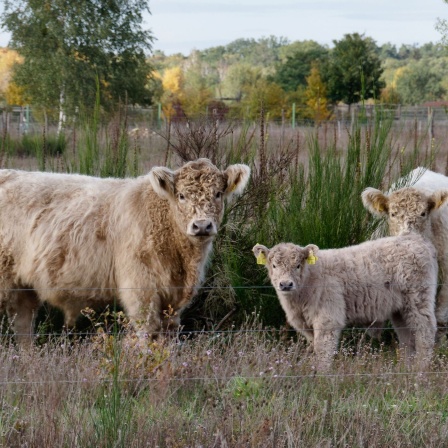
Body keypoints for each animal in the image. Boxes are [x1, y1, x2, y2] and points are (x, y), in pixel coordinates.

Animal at [0, 158, 252, 344]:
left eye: (217, 194)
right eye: (181, 195)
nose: (201, 226)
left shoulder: (173, 305)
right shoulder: (141, 291)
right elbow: (145, 335)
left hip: (23, 288)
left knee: (23, 324)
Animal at [252, 233, 438, 370]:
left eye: (297, 265)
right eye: (274, 265)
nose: (285, 284)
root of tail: (414, 238)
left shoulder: (328, 318)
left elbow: (323, 349)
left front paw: (322, 379)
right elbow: (316, 347)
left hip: (418, 299)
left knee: (425, 332)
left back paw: (421, 370)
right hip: (400, 310)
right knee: (407, 338)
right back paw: (406, 370)